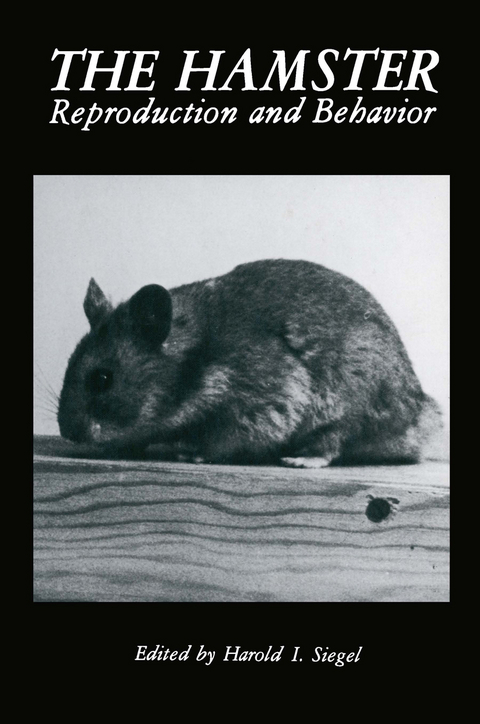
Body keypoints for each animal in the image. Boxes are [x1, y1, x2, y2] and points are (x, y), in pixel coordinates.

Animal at [57, 258, 442, 467]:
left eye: (101, 379)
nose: (67, 434)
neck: (195, 363)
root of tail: (419, 412)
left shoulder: (261, 407)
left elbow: (221, 444)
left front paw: (191, 455)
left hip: (346, 405)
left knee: (333, 444)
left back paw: (300, 459)